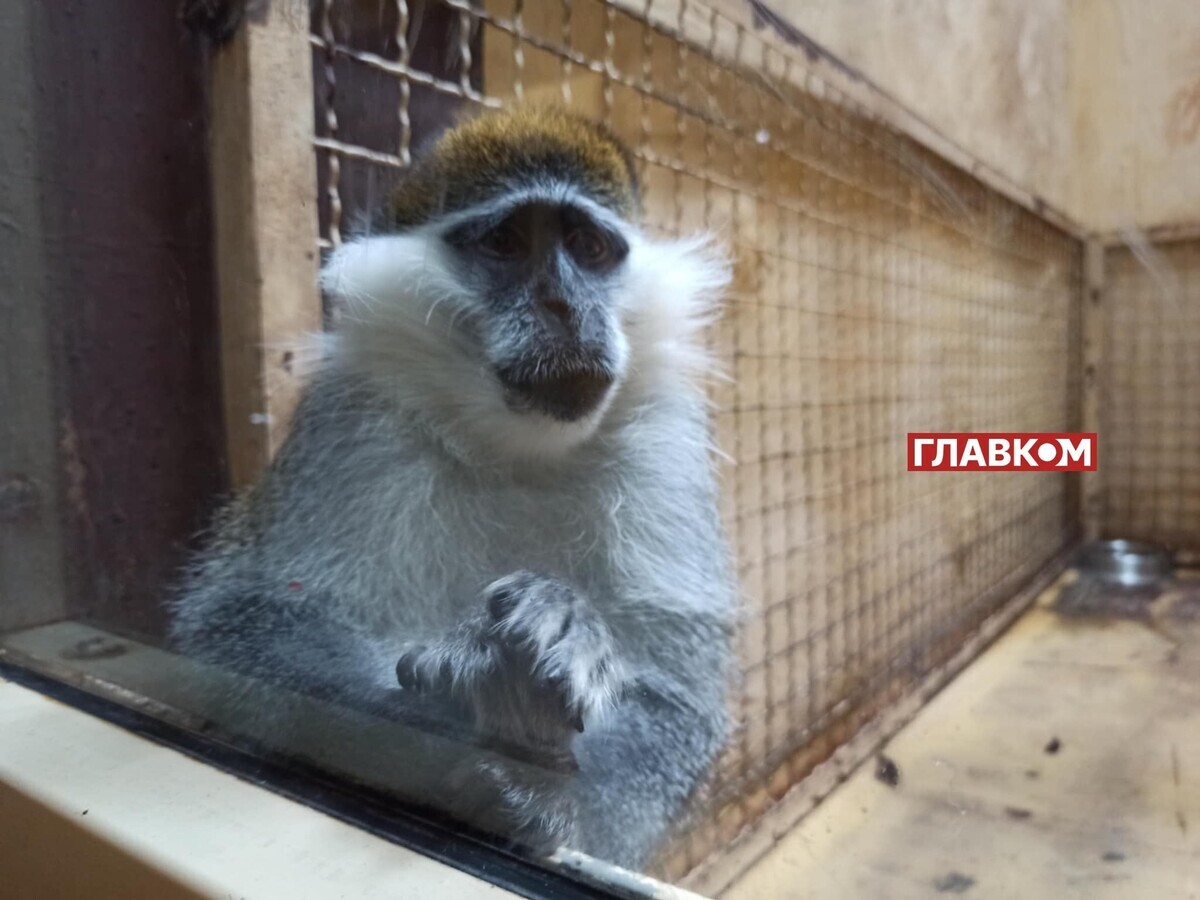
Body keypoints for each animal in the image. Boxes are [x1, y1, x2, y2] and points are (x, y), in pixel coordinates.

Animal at [170, 107, 736, 870]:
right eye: (505, 244)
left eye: (589, 248)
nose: (563, 305)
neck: (514, 453)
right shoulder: (355, 416)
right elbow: (241, 617)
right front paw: (451, 712)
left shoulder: (664, 440)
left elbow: (679, 699)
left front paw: (555, 795)